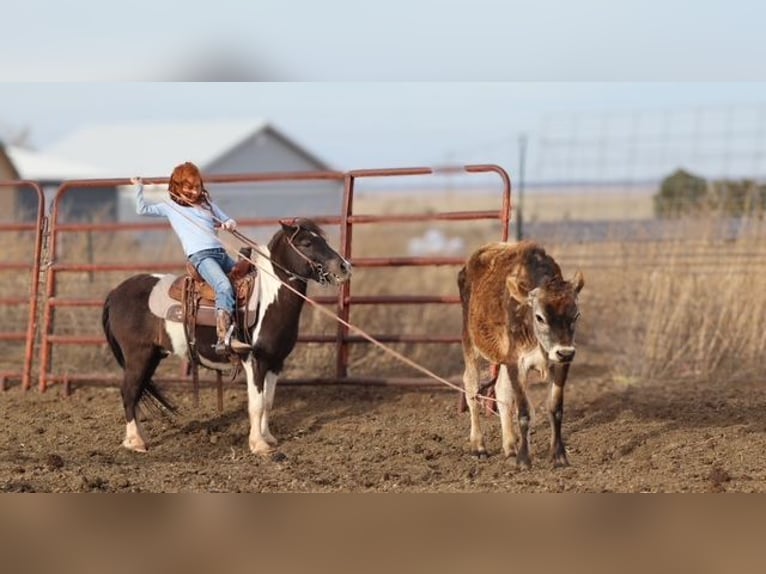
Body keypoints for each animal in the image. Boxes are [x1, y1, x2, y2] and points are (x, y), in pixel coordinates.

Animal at [101, 218, 352, 455]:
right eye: (306, 243)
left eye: (324, 240)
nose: (344, 266)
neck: (269, 298)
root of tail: (115, 293)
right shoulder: (255, 360)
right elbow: (256, 404)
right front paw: (258, 445)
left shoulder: (276, 362)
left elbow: (268, 402)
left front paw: (269, 438)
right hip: (138, 356)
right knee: (129, 392)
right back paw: (135, 442)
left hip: (152, 356)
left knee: (136, 392)